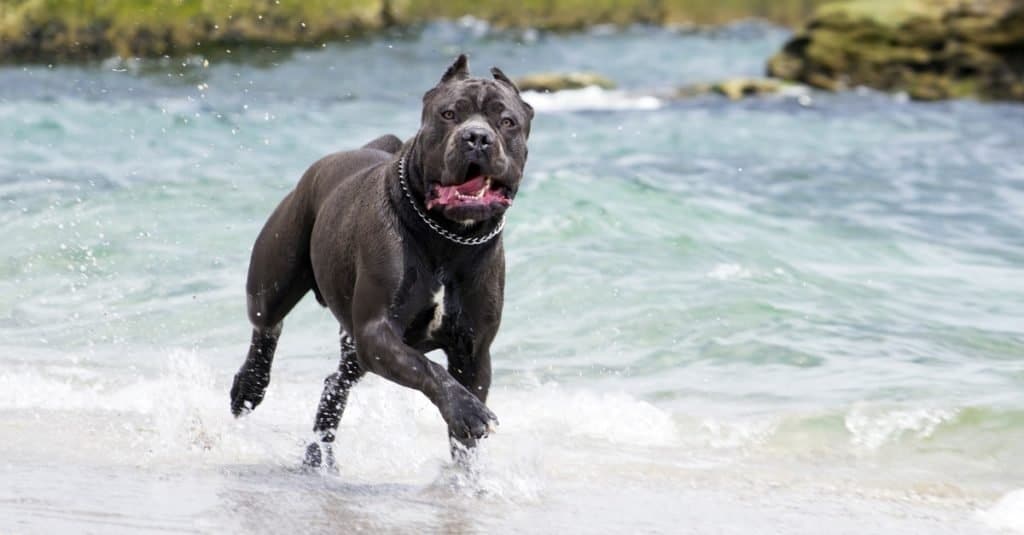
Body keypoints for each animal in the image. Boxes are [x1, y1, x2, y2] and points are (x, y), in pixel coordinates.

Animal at [230, 53, 536, 461]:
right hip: (276, 274)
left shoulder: (472, 352)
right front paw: (468, 412)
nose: (476, 137)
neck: (450, 237)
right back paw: (249, 387)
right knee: (267, 324)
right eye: (449, 114)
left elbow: (462, 433)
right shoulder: (377, 331)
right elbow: (429, 369)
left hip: (354, 347)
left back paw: (318, 454)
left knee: (335, 382)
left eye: (507, 122)